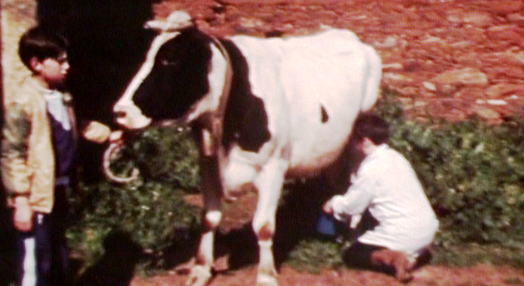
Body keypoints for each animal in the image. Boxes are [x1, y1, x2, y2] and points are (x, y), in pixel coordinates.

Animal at [110, 11, 380, 286]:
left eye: (170, 59)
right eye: (146, 56)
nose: (120, 111)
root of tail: (349, 36)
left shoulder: (274, 167)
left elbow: (263, 226)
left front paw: (266, 275)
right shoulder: (207, 161)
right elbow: (209, 218)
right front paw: (201, 269)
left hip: (361, 133)